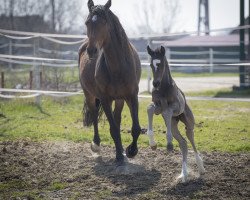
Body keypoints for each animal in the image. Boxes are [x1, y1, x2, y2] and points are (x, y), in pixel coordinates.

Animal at [78, 0, 141, 165]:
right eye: (87, 22)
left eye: (104, 22)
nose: (92, 51)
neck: (118, 66)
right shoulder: (105, 99)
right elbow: (113, 128)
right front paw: (119, 155)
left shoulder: (132, 96)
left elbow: (135, 128)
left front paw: (131, 151)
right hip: (89, 94)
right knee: (94, 114)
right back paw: (96, 145)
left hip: (119, 99)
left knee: (116, 118)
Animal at [146, 45, 205, 183]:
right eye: (151, 64)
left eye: (160, 64)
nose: (155, 84)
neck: (163, 88)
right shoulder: (157, 107)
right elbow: (149, 108)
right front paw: (153, 144)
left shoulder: (175, 108)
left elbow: (167, 111)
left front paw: (168, 143)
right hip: (173, 125)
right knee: (183, 143)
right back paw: (184, 174)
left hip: (188, 123)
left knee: (190, 139)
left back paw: (200, 167)